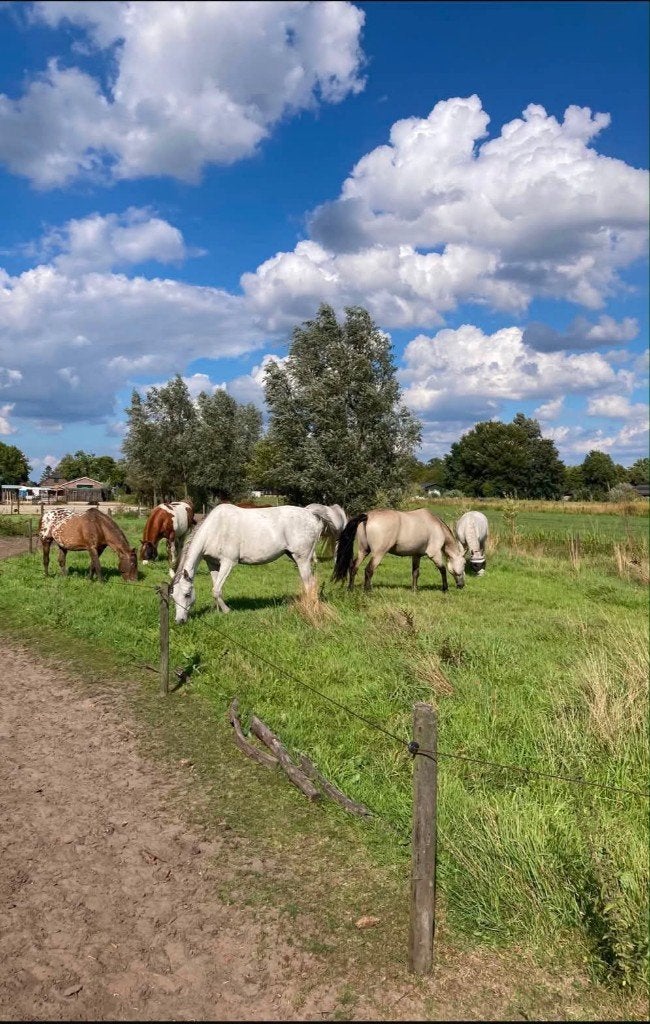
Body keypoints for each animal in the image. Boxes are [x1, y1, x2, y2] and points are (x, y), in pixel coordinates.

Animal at [171, 503, 347, 622]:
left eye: (187, 595)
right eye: (173, 597)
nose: (180, 621)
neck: (215, 529)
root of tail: (310, 513)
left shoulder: (228, 562)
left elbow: (216, 590)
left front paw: (227, 611)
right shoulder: (213, 564)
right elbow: (216, 588)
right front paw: (218, 610)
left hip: (302, 559)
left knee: (309, 584)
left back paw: (310, 610)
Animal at [332, 508, 465, 593]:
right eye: (464, 564)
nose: (462, 585)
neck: (437, 525)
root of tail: (367, 516)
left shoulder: (416, 555)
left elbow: (415, 573)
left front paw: (414, 589)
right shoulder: (434, 554)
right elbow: (443, 569)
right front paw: (445, 588)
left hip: (363, 551)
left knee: (354, 567)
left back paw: (350, 589)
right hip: (378, 553)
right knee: (369, 570)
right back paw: (368, 590)